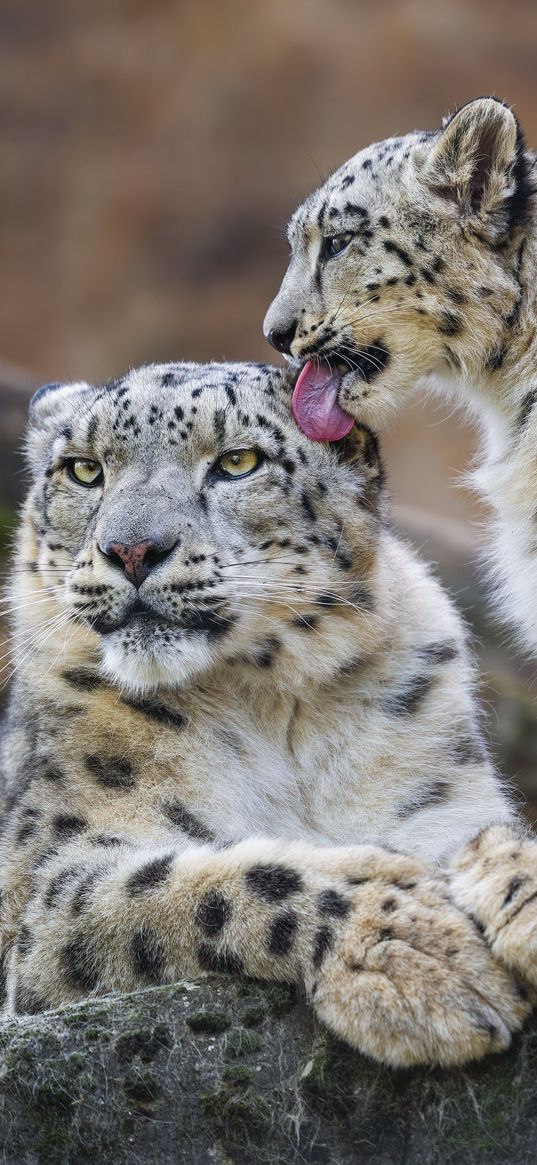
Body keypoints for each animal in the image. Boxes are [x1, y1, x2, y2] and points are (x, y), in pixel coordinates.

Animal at [0, 361, 533, 1067]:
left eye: (238, 462)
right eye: (84, 470)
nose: (132, 549)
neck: (272, 710)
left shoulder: (441, 805)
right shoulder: (47, 888)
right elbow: (205, 883)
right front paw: (417, 950)